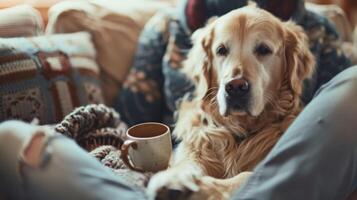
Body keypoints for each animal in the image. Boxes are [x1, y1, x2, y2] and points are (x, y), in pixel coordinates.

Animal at [146, 5, 312, 200]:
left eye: (264, 49)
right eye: (221, 50)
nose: (236, 87)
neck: (238, 132)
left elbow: (245, 176)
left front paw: (205, 188)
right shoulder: (197, 145)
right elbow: (188, 162)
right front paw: (174, 178)